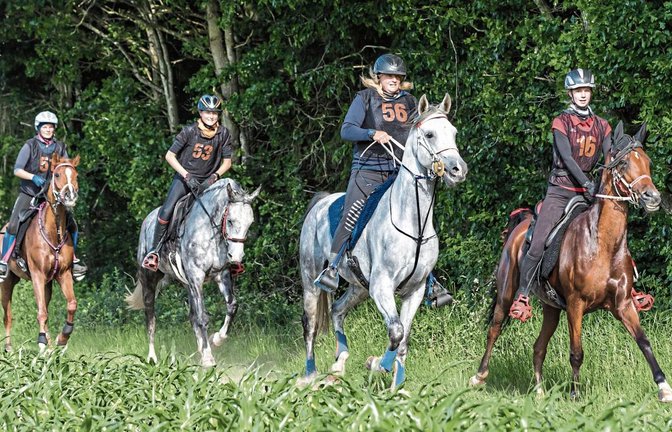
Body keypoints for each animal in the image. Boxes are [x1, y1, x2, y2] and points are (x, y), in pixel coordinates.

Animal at [1, 154, 81, 352]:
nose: (70, 195)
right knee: (8, 315)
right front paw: (42, 343)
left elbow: (71, 304)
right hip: (6, 283)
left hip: (47, 284)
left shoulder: (63, 274)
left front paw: (62, 338)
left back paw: (50, 344)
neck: (53, 232)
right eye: (57, 174)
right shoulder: (37, 274)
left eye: (76, 175)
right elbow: (41, 312)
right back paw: (9, 347)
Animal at [126, 178, 260, 367]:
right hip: (149, 280)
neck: (210, 231)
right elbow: (202, 317)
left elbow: (232, 306)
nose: (236, 257)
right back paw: (152, 358)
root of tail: (147, 219)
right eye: (231, 221)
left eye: (250, 222)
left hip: (186, 283)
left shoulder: (222, 275)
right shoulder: (196, 276)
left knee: (191, 316)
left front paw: (215, 340)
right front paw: (209, 358)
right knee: (150, 316)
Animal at [299, 94, 468, 388]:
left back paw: (340, 363)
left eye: (454, 133)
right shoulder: (382, 286)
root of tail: (320, 202)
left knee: (338, 311)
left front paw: (397, 387)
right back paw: (310, 374)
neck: (413, 223)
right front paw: (376, 364)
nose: (458, 170)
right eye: (430, 134)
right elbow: (396, 332)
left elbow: (403, 340)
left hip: (359, 288)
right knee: (310, 325)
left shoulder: (414, 290)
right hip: (311, 280)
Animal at [469, 122, 672, 402]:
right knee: (494, 329)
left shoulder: (623, 304)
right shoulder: (576, 305)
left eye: (648, 162)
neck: (603, 245)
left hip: (551, 308)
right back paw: (479, 376)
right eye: (623, 163)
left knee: (538, 347)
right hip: (506, 294)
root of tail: (521, 223)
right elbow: (577, 352)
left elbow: (644, 342)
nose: (652, 197)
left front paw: (664, 387)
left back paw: (540, 391)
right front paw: (575, 394)